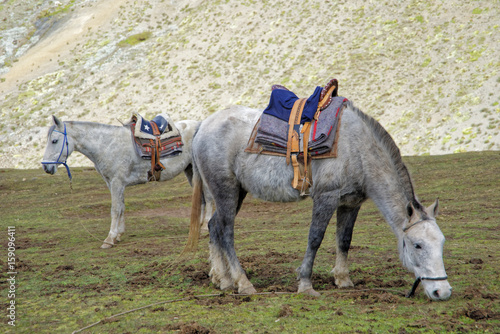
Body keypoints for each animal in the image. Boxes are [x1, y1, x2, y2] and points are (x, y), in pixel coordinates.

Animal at [43, 115, 213, 248]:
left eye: (55, 141)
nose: (46, 167)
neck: (107, 145)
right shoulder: (113, 183)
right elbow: (122, 207)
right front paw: (118, 235)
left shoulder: (117, 182)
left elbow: (115, 209)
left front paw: (109, 239)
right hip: (190, 170)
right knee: (201, 198)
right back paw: (197, 227)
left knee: (209, 197)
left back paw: (205, 228)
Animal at [187, 103, 454, 302]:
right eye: (417, 245)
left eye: (441, 242)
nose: (442, 292)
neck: (358, 148)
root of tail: (202, 127)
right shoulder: (326, 197)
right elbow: (315, 238)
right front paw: (306, 284)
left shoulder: (351, 203)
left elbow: (344, 240)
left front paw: (343, 279)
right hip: (226, 191)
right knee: (226, 232)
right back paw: (243, 283)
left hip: (234, 193)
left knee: (213, 226)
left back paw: (222, 279)